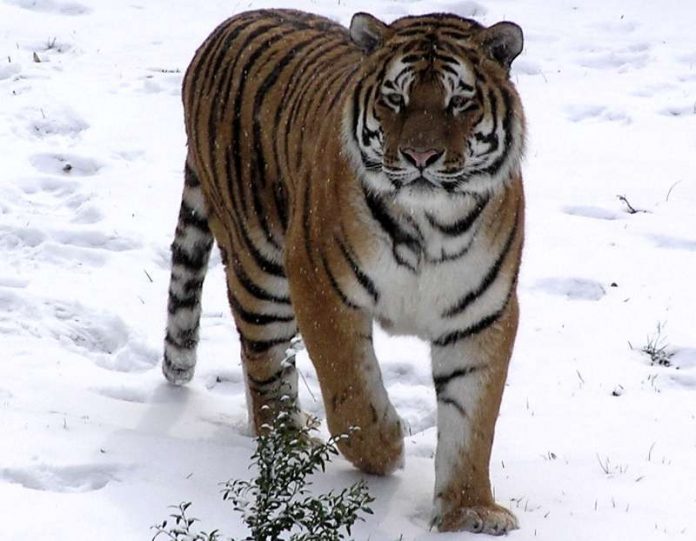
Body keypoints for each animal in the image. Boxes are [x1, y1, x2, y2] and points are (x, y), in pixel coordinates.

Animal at [160, 7, 524, 532]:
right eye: (395, 99)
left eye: (459, 102)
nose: (420, 156)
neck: (430, 222)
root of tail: (227, 23)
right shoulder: (319, 283)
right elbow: (349, 385)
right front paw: (384, 448)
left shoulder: (481, 315)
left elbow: (472, 421)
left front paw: (468, 511)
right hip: (260, 269)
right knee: (263, 362)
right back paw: (288, 442)